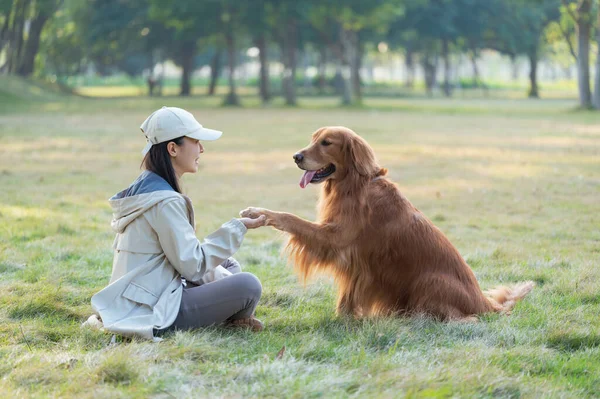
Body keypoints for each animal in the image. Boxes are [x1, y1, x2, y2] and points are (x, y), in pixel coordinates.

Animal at [241, 128, 532, 322]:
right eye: (313, 140)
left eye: (326, 143)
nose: (296, 157)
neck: (355, 185)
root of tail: (484, 303)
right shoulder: (352, 259)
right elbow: (347, 294)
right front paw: (345, 318)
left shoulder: (335, 239)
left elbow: (290, 218)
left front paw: (260, 213)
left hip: (429, 280)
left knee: (461, 318)